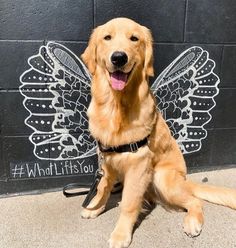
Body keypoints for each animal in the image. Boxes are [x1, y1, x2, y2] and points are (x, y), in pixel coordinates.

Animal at [79, 17, 236, 248]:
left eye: (134, 38)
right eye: (107, 37)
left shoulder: (138, 162)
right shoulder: (106, 158)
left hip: (163, 178)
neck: (117, 105)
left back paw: (192, 222)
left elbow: (128, 203)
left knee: (195, 201)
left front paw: (121, 234)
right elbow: (103, 186)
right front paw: (96, 207)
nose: (118, 57)